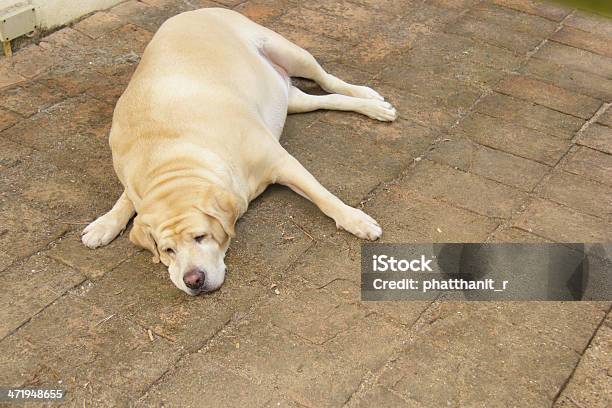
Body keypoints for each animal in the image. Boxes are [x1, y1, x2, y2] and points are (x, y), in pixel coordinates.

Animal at [81, 7, 396, 294]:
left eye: (201, 237)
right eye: (168, 250)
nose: (193, 281)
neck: (172, 158)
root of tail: (193, 10)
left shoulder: (281, 162)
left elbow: (323, 196)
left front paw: (356, 220)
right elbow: (126, 200)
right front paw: (104, 224)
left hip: (289, 51)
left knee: (327, 79)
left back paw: (370, 98)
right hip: (291, 100)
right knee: (325, 100)